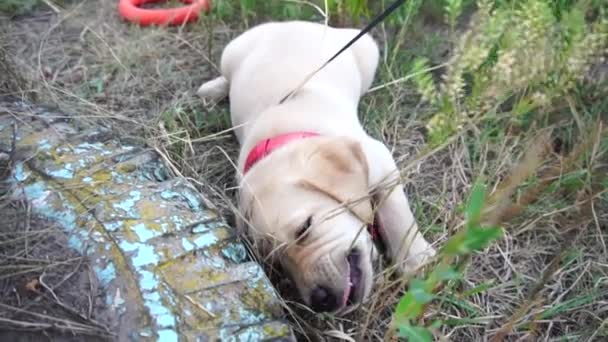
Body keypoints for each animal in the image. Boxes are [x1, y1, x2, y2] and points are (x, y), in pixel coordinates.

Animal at [197, 20, 434, 316]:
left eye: (304, 228)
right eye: (278, 265)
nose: (321, 301)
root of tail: (293, 23)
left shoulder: (381, 161)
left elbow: (396, 212)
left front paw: (416, 257)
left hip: (367, 52)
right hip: (232, 51)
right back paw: (212, 89)